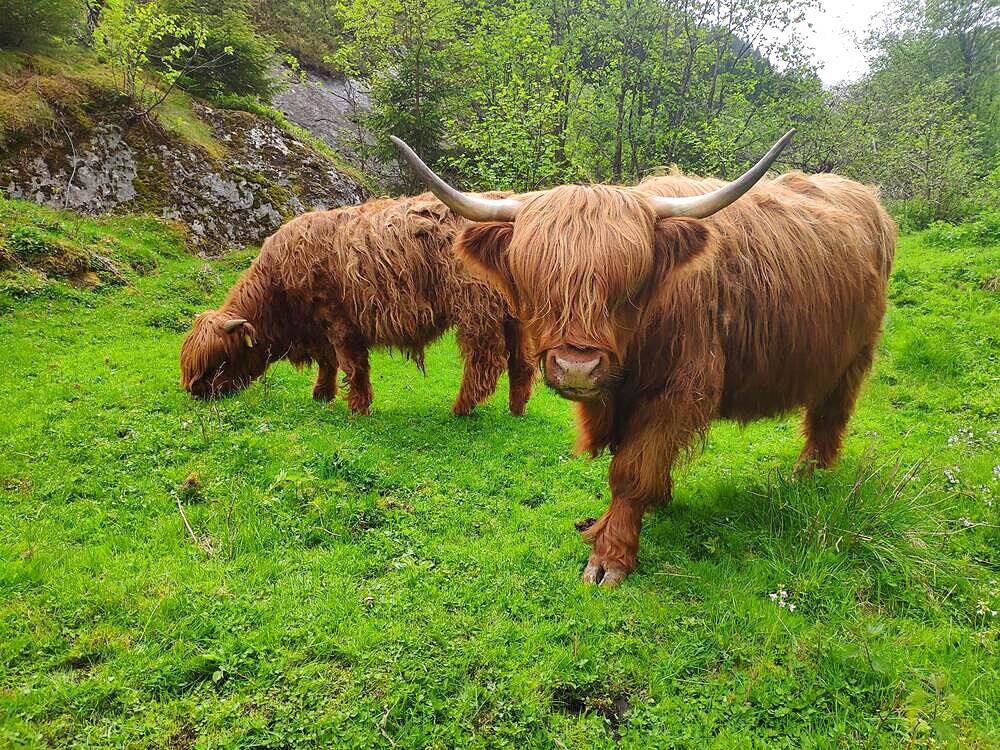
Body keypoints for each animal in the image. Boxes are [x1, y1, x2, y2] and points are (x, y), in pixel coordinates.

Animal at [180, 194, 540, 418]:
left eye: (220, 360)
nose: (195, 390)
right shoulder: (319, 329)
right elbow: (328, 363)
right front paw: (321, 395)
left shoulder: (337, 319)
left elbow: (352, 365)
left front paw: (357, 408)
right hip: (514, 315)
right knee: (521, 362)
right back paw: (516, 409)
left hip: (475, 308)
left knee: (484, 360)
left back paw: (461, 407)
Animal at [394, 131, 896, 588]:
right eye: (535, 281)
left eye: (629, 285)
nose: (577, 368)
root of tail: (866, 198)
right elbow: (629, 462)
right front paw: (612, 520)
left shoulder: (678, 388)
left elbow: (632, 471)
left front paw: (610, 556)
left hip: (852, 358)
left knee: (829, 415)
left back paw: (808, 476)